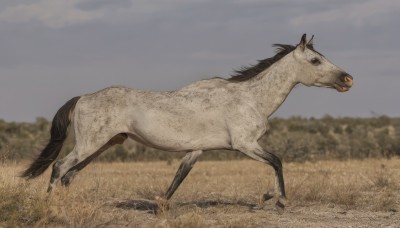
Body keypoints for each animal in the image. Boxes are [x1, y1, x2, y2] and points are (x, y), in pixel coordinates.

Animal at [22, 33, 354, 214]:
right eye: (315, 61)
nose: (348, 79)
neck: (249, 97)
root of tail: (82, 97)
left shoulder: (197, 151)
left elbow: (177, 180)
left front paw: (160, 207)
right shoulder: (245, 144)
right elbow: (277, 161)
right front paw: (277, 199)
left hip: (102, 145)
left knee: (69, 175)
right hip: (90, 144)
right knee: (59, 168)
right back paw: (49, 207)